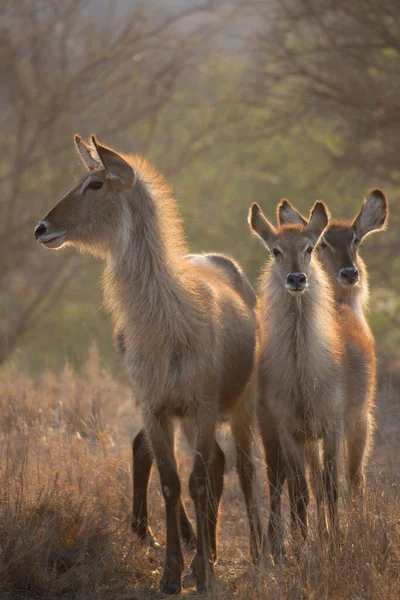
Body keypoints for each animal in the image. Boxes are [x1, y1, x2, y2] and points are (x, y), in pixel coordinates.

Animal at [34, 135, 262, 592]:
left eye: (95, 183)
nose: (42, 228)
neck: (166, 318)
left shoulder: (201, 407)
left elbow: (197, 483)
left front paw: (204, 574)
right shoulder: (156, 408)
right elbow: (172, 484)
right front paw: (174, 573)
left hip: (241, 405)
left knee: (244, 469)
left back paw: (263, 550)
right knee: (214, 464)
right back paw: (204, 550)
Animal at [248, 202, 376, 564]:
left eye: (308, 248)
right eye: (275, 251)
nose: (296, 279)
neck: (304, 375)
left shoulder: (332, 424)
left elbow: (331, 488)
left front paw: (334, 544)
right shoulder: (289, 429)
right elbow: (300, 491)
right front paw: (304, 547)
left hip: (358, 419)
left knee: (351, 478)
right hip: (276, 429)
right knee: (281, 481)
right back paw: (277, 546)